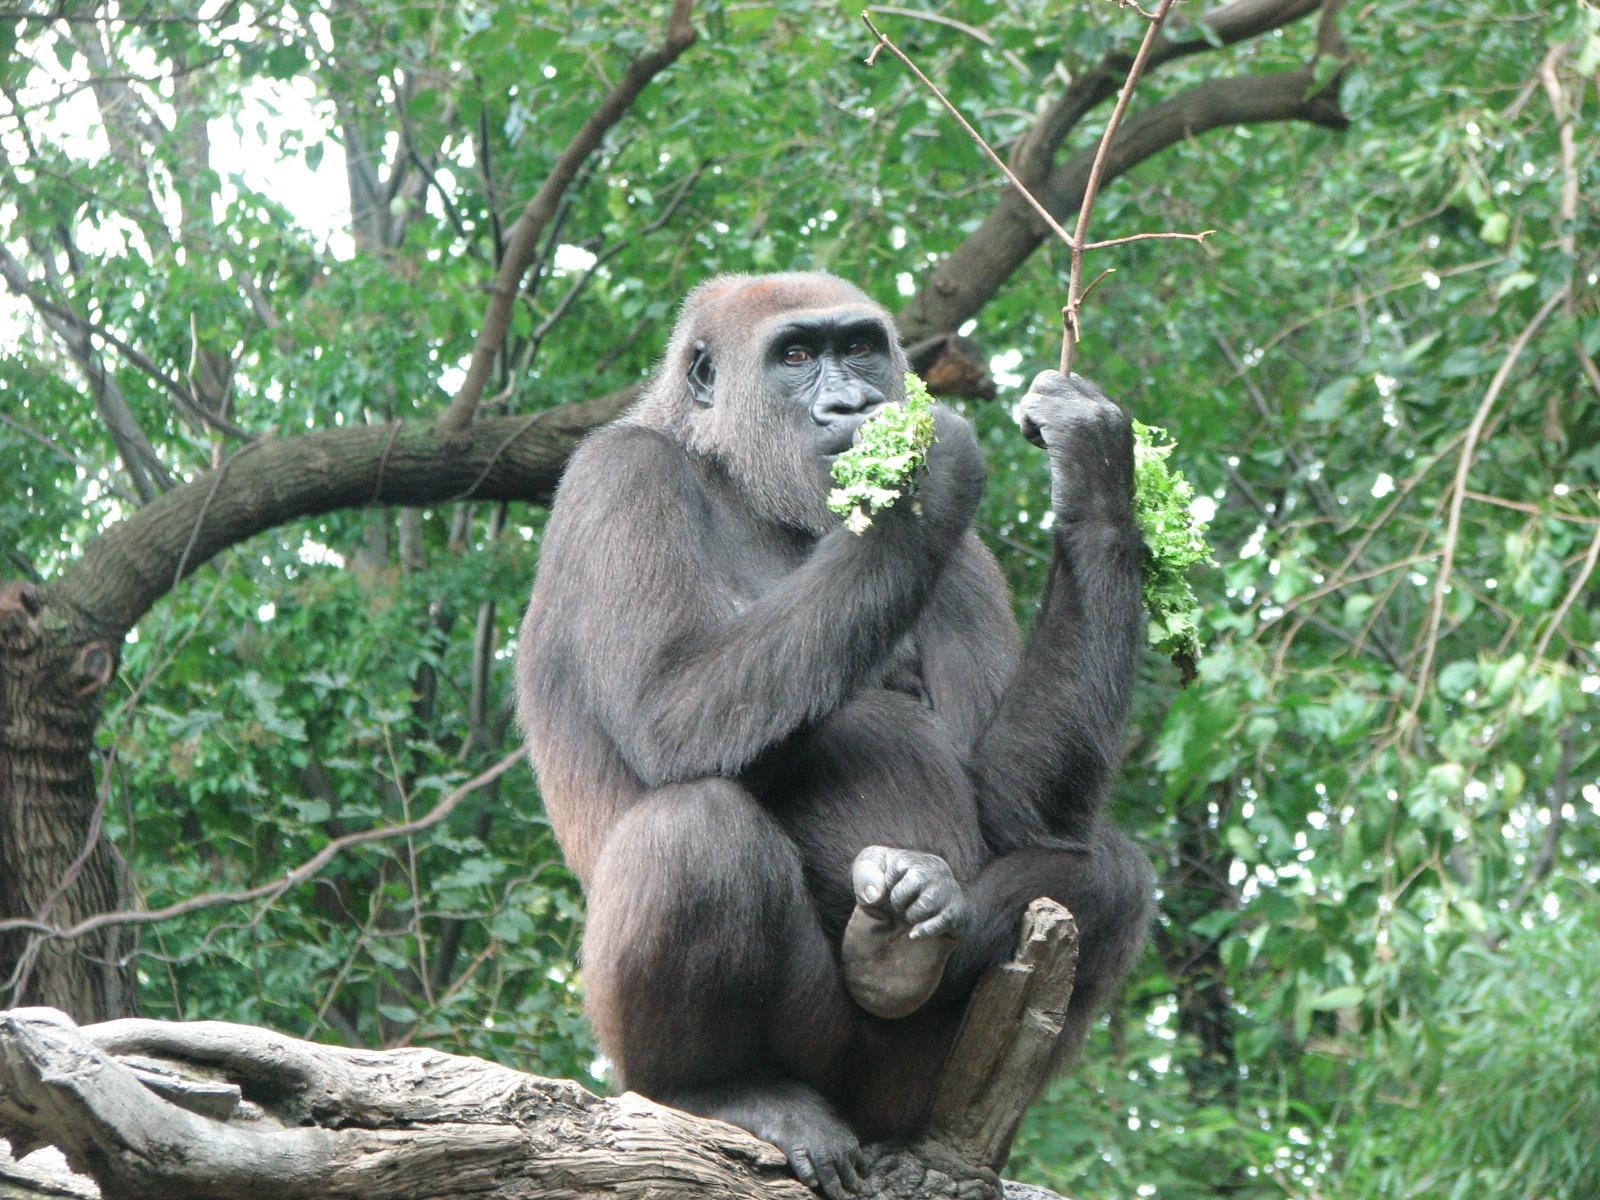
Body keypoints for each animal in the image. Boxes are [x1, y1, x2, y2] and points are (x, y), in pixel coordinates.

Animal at [516, 272, 1153, 1199]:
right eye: (794, 357)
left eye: (858, 348)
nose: (853, 404)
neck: (732, 470)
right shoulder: (619, 477)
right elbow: (668, 711)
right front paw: (920, 474)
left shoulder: (968, 562)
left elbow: (1015, 808)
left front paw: (1095, 476)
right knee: (695, 830)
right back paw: (717, 1087)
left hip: (907, 1088)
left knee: (1111, 875)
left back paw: (916, 939)